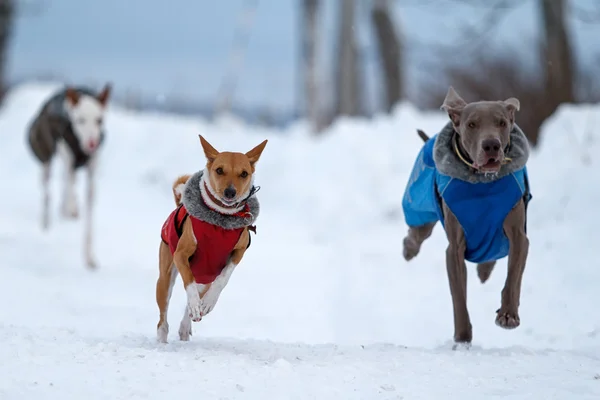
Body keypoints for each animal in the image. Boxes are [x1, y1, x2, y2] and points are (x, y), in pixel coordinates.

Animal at [157, 136, 268, 342]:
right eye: (219, 170)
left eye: (244, 173)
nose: (230, 192)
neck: (220, 221)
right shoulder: (181, 254)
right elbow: (189, 283)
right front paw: (195, 303)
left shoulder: (238, 252)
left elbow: (224, 278)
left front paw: (207, 303)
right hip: (165, 277)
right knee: (163, 316)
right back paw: (163, 337)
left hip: (206, 275)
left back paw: (188, 323)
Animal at [400, 86, 532, 346]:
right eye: (472, 124)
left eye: (502, 122)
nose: (491, 145)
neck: (482, 184)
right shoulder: (455, 248)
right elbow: (459, 296)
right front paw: (462, 337)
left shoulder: (519, 236)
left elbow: (513, 277)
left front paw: (508, 315)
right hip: (419, 208)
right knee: (416, 232)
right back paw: (409, 249)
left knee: (492, 253)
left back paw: (484, 270)